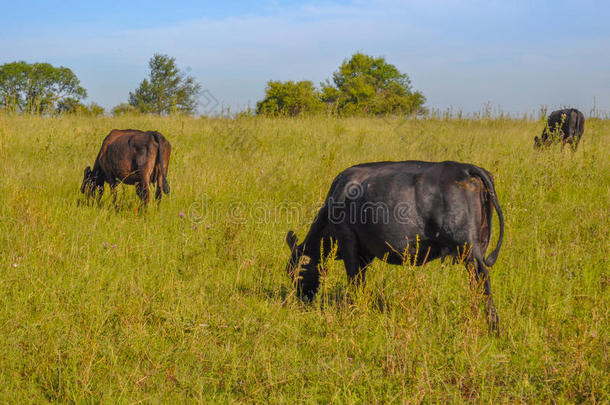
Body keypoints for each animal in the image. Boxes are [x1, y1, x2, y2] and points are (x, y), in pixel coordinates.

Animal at [284, 159, 504, 330]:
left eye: (295, 272)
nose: (300, 300)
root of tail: (466, 168)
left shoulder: (348, 242)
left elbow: (354, 279)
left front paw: (354, 310)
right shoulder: (365, 253)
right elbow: (361, 280)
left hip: (468, 248)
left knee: (482, 278)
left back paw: (492, 325)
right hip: (476, 248)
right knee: (475, 281)